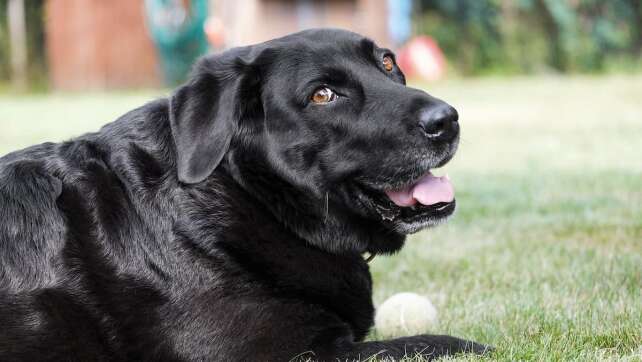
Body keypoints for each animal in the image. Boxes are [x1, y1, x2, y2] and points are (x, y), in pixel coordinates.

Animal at [0, 29, 488, 360]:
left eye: (387, 63)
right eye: (323, 94)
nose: (447, 119)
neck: (245, 194)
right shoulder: (292, 353)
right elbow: (437, 343)